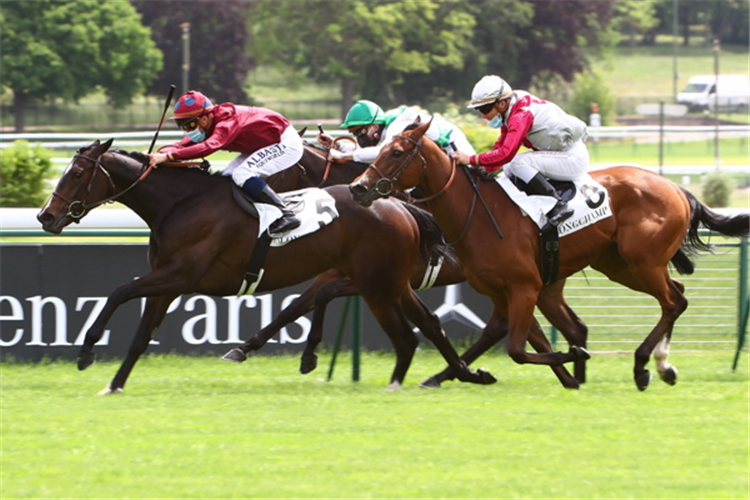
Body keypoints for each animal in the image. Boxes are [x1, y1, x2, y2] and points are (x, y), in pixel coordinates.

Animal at [36, 139, 500, 392]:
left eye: (76, 173)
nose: (45, 215)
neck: (181, 204)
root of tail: (399, 205)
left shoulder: (179, 274)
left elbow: (118, 292)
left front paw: (86, 350)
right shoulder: (167, 282)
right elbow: (138, 336)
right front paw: (114, 384)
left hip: (380, 281)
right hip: (388, 281)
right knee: (433, 324)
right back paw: (463, 374)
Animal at [352, 120, 750, 390]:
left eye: (396, 152)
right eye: (379, 148)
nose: (358, 188)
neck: (478, 213)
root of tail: (675, 187)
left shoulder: (525, 287)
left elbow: (516, 348)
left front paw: (574, 359)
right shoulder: (503, 290)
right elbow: (509, 337)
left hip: (643, 261)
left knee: (672, 301)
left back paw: (642, 366)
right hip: (619, 265)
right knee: (676, 295)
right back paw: (662, 366)